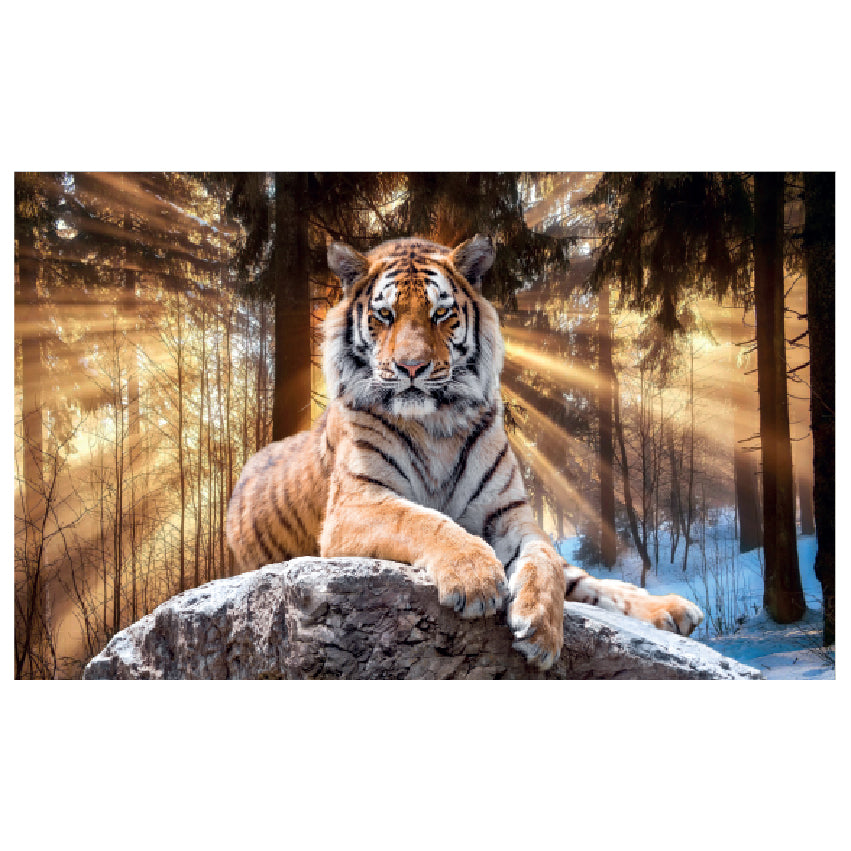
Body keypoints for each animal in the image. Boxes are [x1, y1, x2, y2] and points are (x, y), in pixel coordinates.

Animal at [225, 234, 704, 670]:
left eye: (441, 313)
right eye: (385, 315)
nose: (411, 368)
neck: (436, 424)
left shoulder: (509, 514)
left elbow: (545, 559)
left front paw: (542, 630)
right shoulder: (356, 504)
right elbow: (422, 520)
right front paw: (475, 578)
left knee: (585, 580)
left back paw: (674, 609)